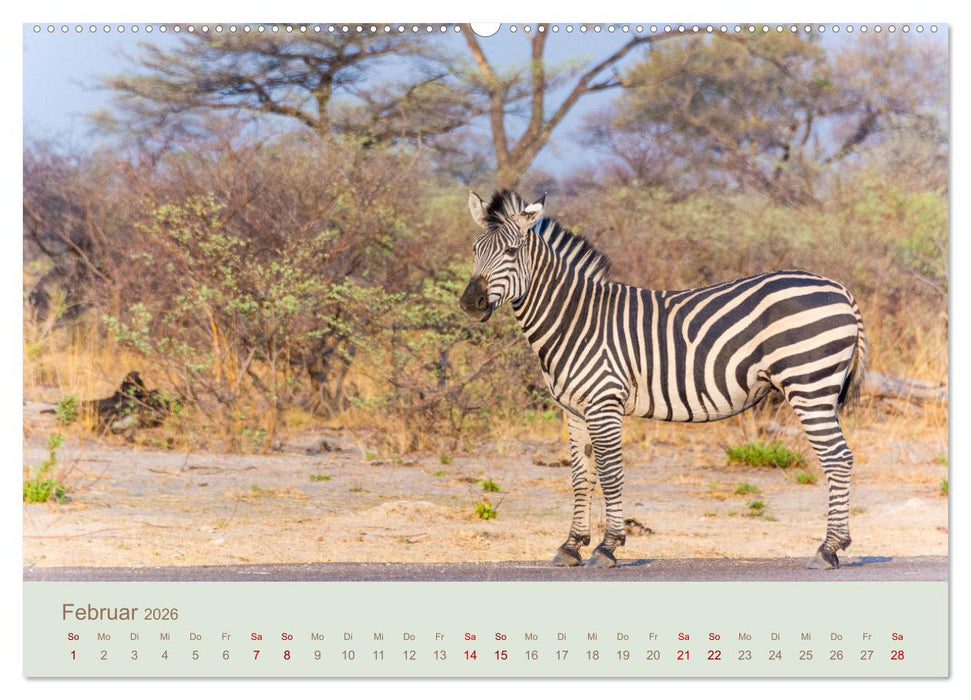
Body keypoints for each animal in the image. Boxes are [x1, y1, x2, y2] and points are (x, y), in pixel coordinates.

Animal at [460, 190, 868, 569]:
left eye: (511, 251)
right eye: (476, 250)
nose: (470, 303)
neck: (574, 318)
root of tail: (841, 290)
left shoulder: (604, 402)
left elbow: (610, 472)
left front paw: (607, 547)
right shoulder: (574, 410)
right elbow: (581, 475)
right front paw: (571, 546)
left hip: (809, 386)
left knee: (837, 457)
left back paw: (828, 549)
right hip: (817, 388)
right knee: (839, 457)